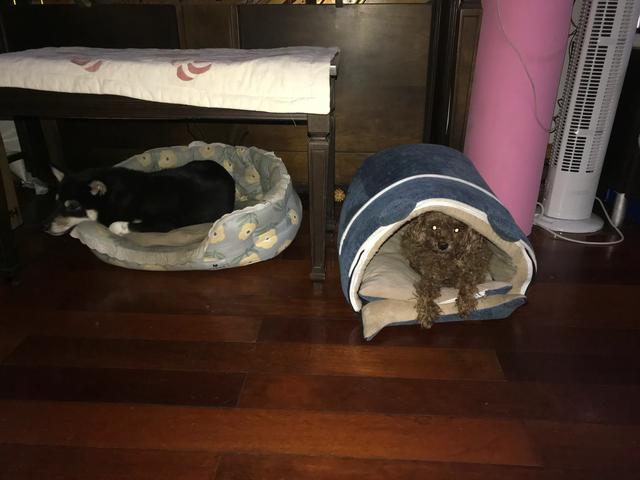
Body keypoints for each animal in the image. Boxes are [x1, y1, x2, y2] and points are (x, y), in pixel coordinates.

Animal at [46, 161, 235, 236]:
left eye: (72, 206)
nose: (43, 226)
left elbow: (115, 225)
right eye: (56, 200)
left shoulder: (164, 223)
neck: (114, 196)